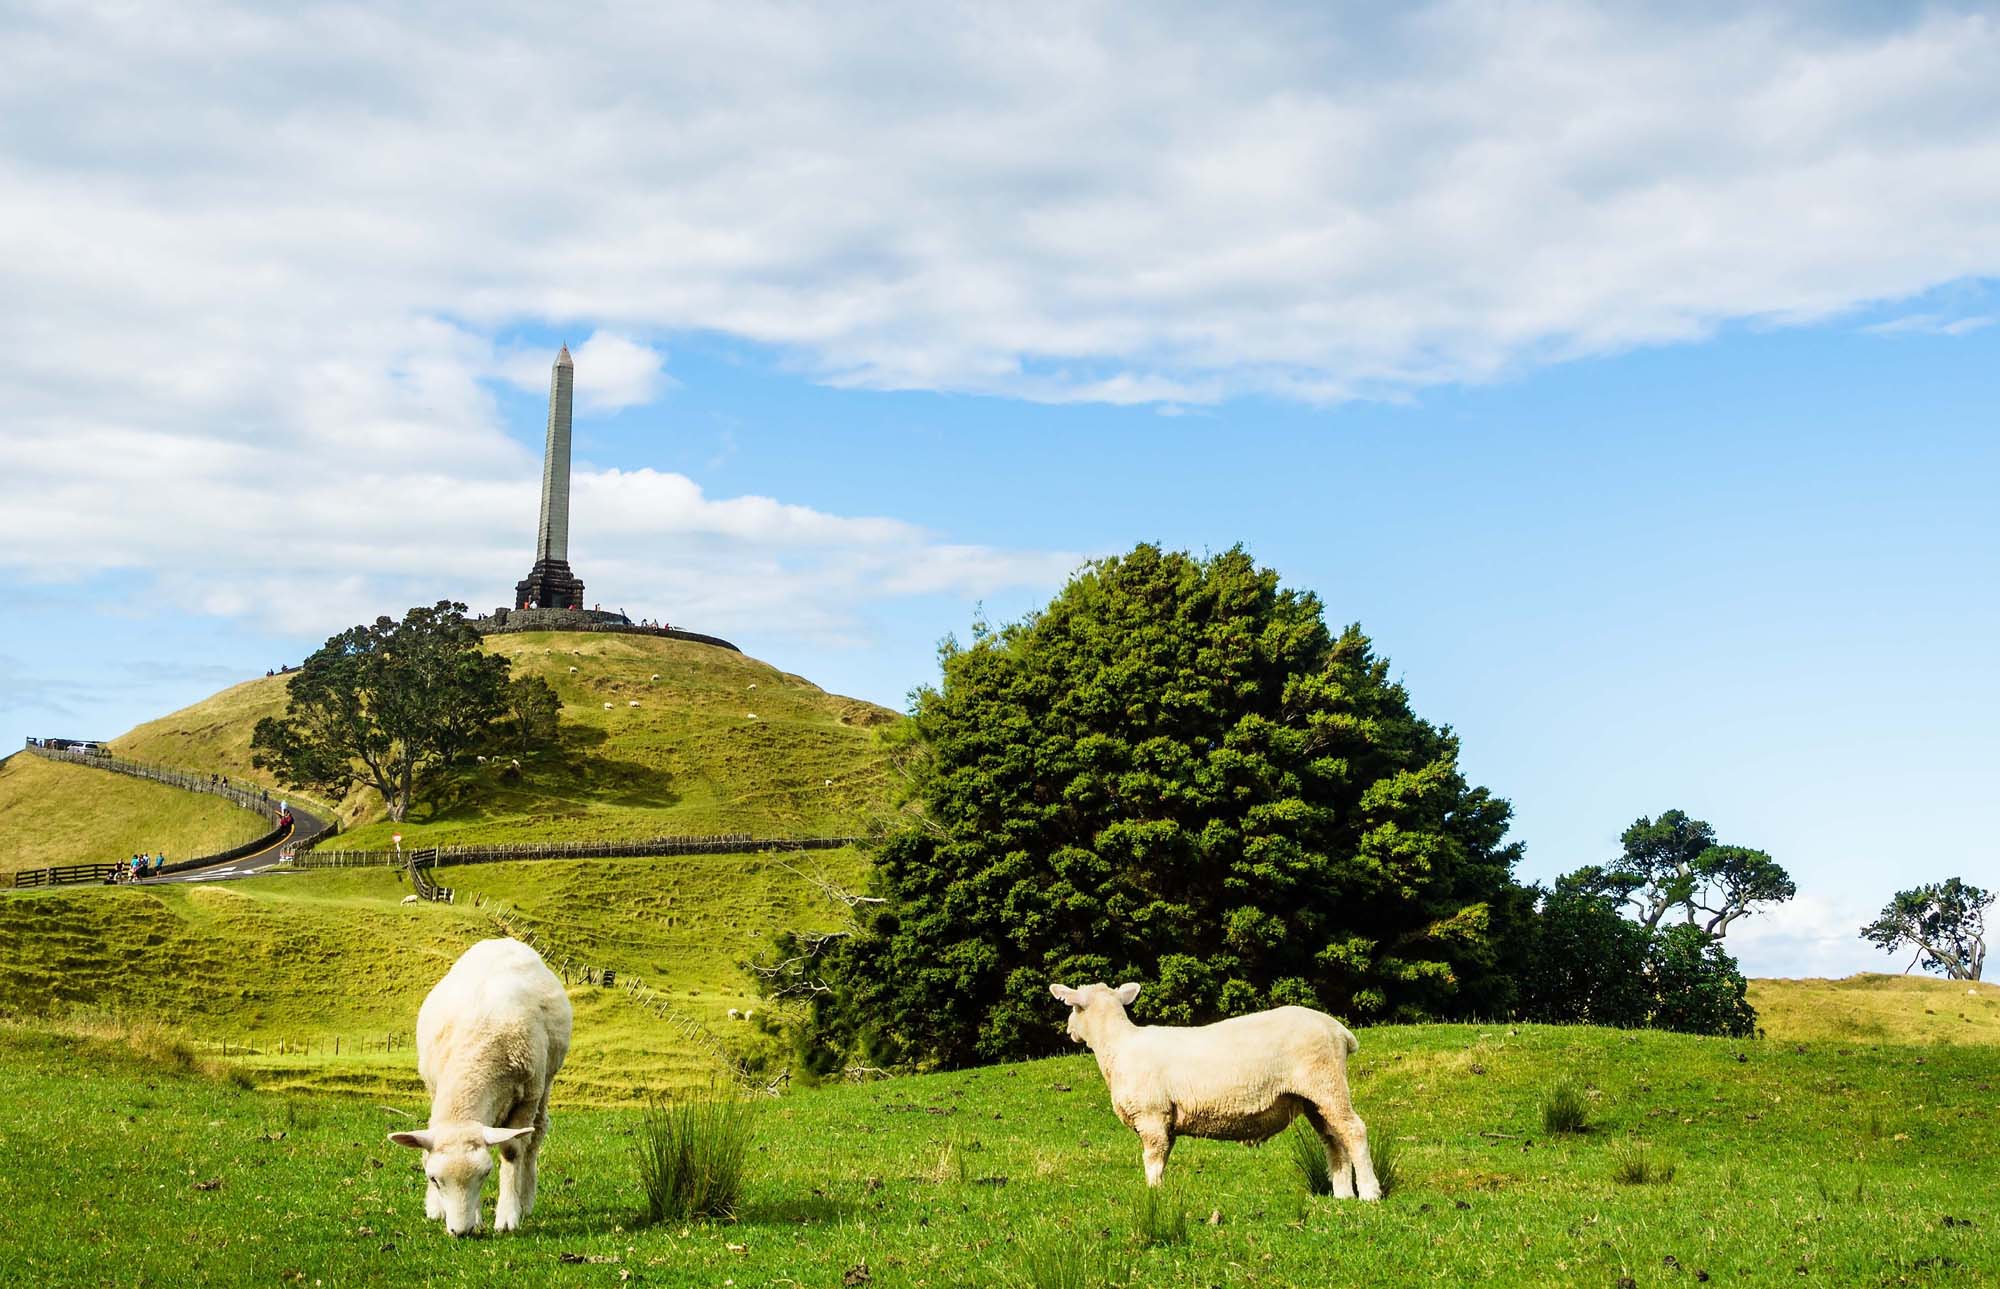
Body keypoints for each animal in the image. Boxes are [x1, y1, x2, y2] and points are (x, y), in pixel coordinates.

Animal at [390, 939, 573, 1236]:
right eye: (433, 1179)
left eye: (485, 1175)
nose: (460, 1232)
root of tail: (503, 941)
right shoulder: (436, 1086)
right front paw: (466, 1215)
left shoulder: (527, 1097)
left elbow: (512, 1151)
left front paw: (508, 1215)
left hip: (545, 1082)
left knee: (536, 1135)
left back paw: (526, 1200)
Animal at [1048, 981, 1380, 1198]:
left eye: (1072, 1007)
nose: (1068, 1031)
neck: (1116, 1046)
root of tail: (1340, 1031)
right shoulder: (1166, 1121)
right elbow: (1163, 1158)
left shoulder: (1152, 1115)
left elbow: (1152, 1159)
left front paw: (1153, 1194)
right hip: (1313, 1095)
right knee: (1333, 1138)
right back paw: (1342, 1195)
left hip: (1326, 1080)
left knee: (1354, 1130)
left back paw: (1369, 1193)